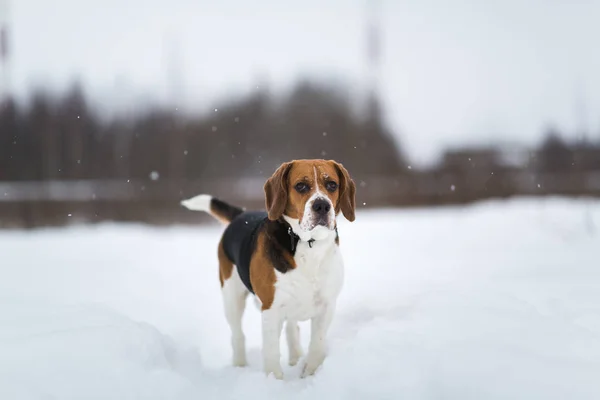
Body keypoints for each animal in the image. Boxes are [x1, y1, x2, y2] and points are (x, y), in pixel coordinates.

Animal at [180, 159, 354, 378]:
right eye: (301, 186)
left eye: (332, 185)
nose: (322, 205)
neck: (307, 244)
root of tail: (241, 214)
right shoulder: (271, 309)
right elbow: (271, 352)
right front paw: (275, 380)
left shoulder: (327, 306)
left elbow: (317, 344)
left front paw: (310, 373)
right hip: (232, 298)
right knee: (238, 335)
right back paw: (240, 366)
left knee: (291, 328)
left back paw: (295, 357)